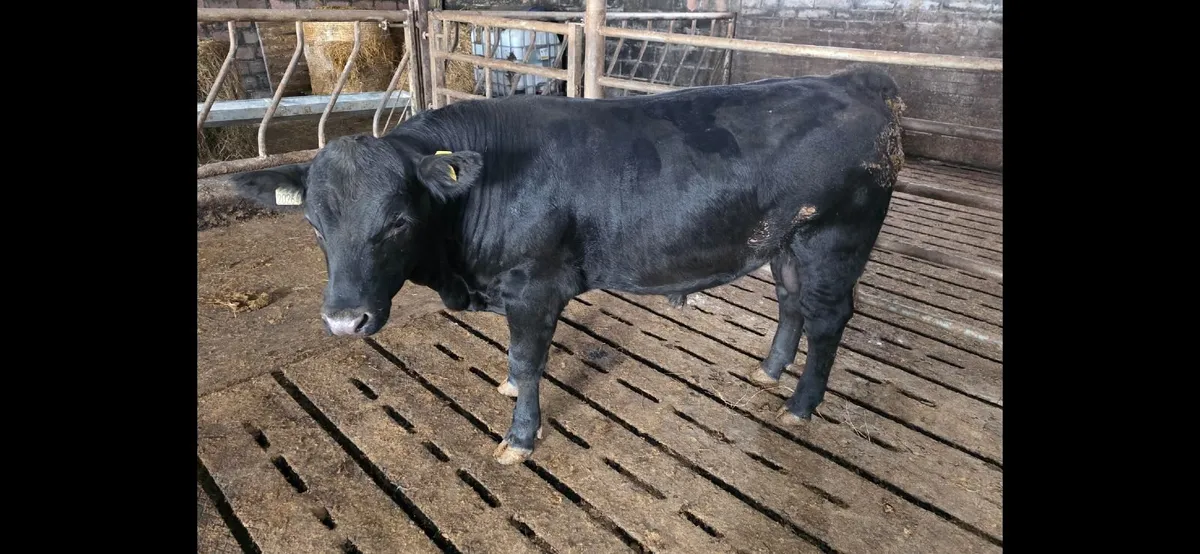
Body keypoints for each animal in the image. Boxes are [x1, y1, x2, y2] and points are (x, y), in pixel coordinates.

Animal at [229, 63, 905, 465]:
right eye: (314, 224)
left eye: (397, 220)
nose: (345, 321)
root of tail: (857, 77)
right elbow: (515, 361)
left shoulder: (535, 286)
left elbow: (528, 361)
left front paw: (519, 438)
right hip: (785, 241)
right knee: (792, 301)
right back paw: (769, 372)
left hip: (835, 238)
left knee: (828, 317)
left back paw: (801, 404)